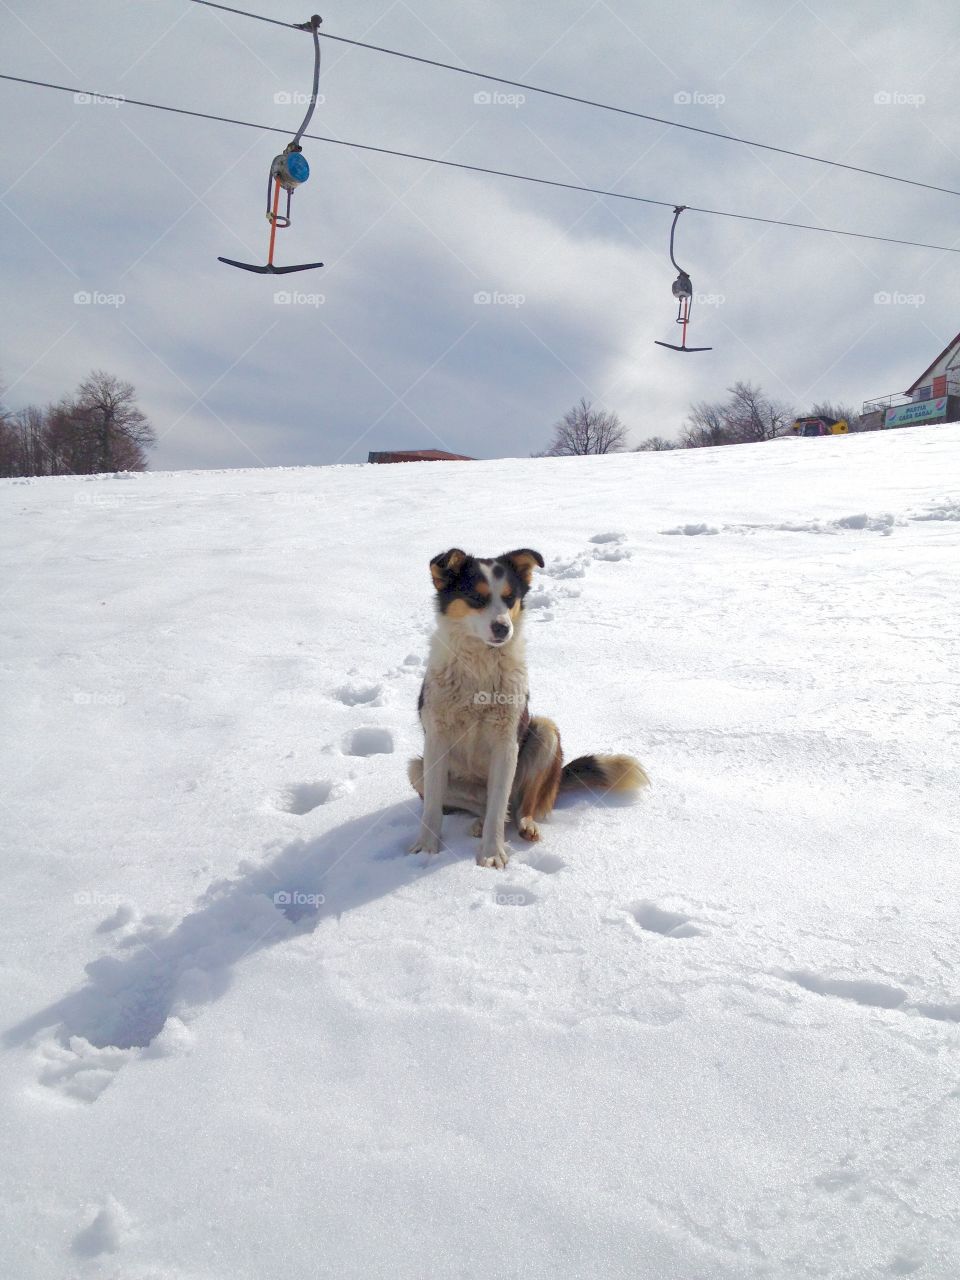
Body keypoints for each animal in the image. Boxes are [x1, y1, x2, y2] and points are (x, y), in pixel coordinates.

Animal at [409, 545, 650, 865]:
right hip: (417, 769)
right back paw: (478, 822)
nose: (502, 628)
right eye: (477, 598)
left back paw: (526, 825)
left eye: (510, 597)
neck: (479, 666)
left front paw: (492, 854)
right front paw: (425, 850)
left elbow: (499, 810)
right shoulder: (436, 740)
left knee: (518, 806)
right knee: (486, 806)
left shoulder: (506, 743)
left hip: (544, 731)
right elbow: (433, 807)